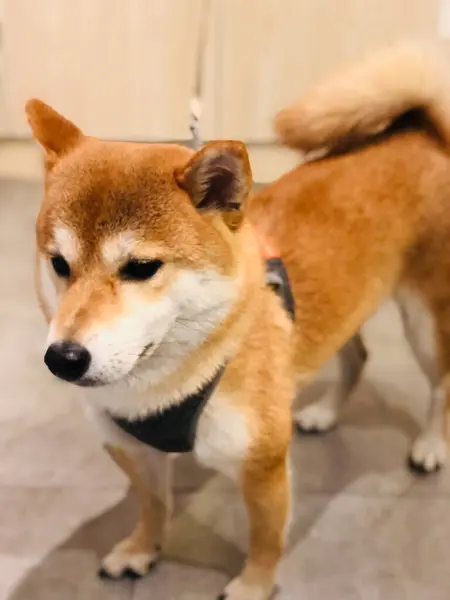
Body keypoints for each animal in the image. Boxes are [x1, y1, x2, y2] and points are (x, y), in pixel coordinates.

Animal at [28, 99, 296, 600]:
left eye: (141, 267)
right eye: (59, 263)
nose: (63, 359)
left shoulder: (263, 462)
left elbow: (266, 538)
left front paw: (255, 583)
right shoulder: (131, 446)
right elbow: (152, 504)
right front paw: (141, 550)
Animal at [250, 41, 450, 474]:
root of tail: (420, 131)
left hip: (424, 324)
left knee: (443, 385)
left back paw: (431, 444)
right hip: (342, 306)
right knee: (358, 359)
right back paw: (324, 414)